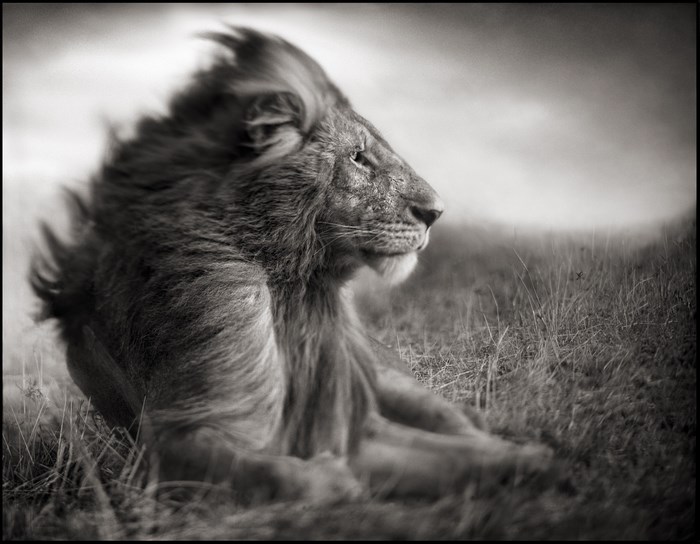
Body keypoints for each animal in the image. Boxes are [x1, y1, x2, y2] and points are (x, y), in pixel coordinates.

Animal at [30, 27, 554, 503]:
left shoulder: (351, 422)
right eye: (359, 158)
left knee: (454, 419)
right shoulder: (170, 441)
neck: (293, 287)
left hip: (387, 379)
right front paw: (330, 480)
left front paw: (534, 459)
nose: (436, 213)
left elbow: (460, 455)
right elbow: (269, 472)